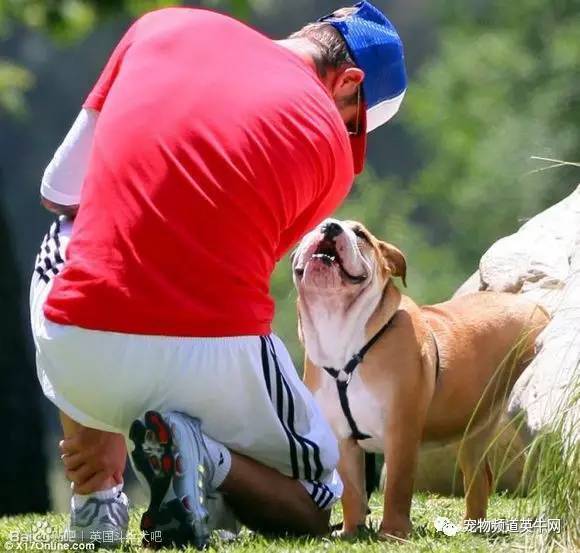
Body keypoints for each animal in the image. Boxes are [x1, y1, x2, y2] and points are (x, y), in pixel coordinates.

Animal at [292, 218, 552, 536]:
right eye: (315, 226)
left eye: (360, 234)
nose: (330, 227)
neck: (339, 329)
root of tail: (538, 308)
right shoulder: (342, 436)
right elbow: (352, 491)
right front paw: (352, 531)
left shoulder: (401, 428)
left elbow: (397, 487)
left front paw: (393, 533)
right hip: (474, 431)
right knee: (479, 478)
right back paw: (470, 527)